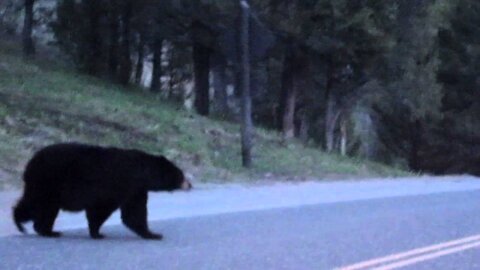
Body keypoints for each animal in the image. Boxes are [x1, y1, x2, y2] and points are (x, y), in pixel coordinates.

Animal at [12, 142, 191, 239]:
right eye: (181, 175)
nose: (190, 184)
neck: (143, 171)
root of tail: (29, 165)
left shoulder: (136, 190)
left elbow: (133, 212)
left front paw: (152, 234)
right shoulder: (123, 185)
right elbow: (108, 210)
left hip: (40, 186)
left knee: (31, 204)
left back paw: (24, 224)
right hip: (49, 183)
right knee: (44, 208)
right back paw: (46, 231)